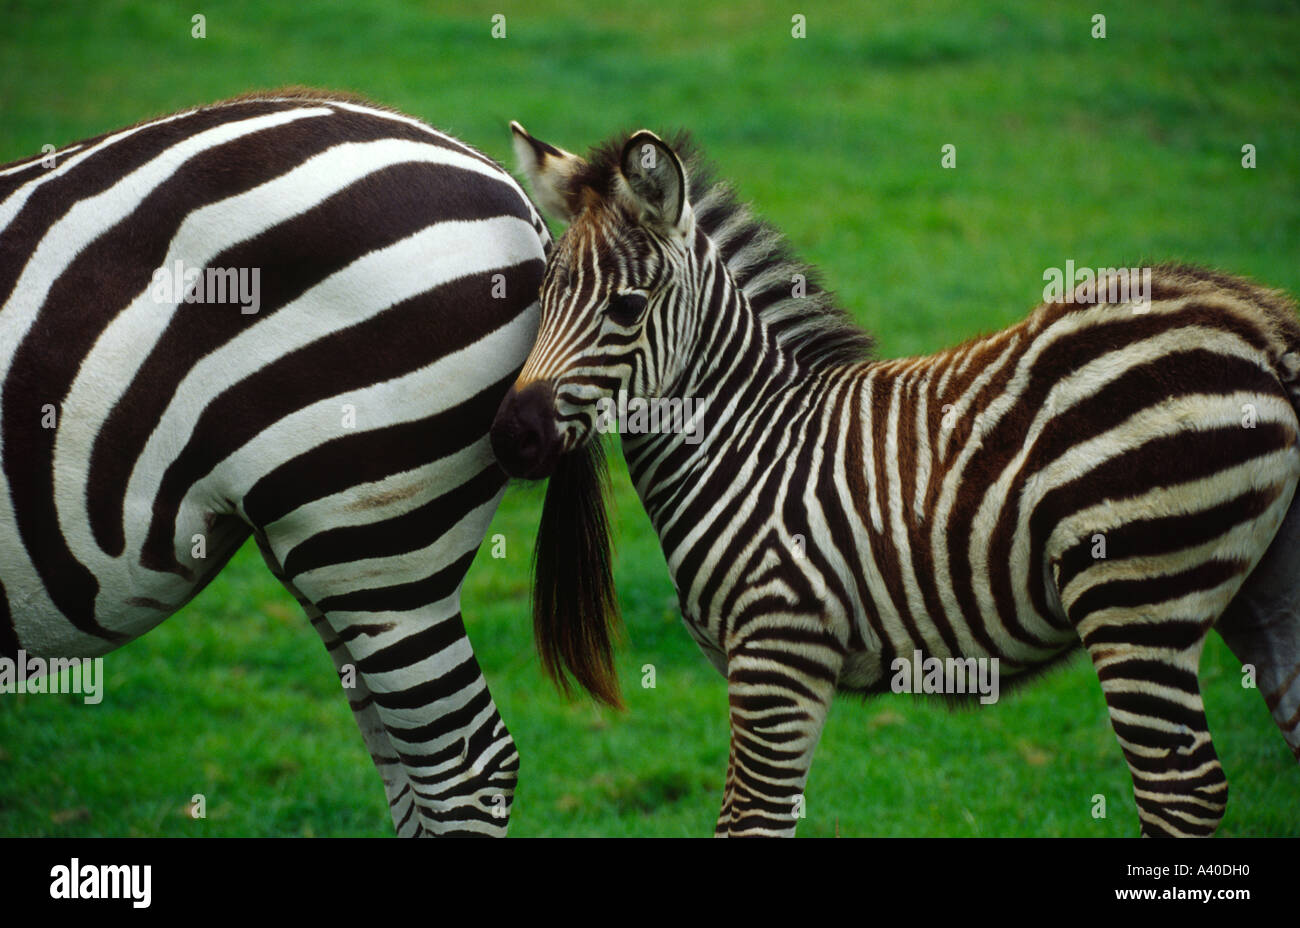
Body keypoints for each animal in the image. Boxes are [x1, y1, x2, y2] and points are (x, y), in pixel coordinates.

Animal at [491, 119, 1300, 837]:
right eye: (539, 294)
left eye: (627, 306)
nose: (510, 437)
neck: (749, 438)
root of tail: (1255, 322)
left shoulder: (780, 647)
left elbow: (749, 821)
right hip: (1254, 588)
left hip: (1135, 595)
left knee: (1182, 790)